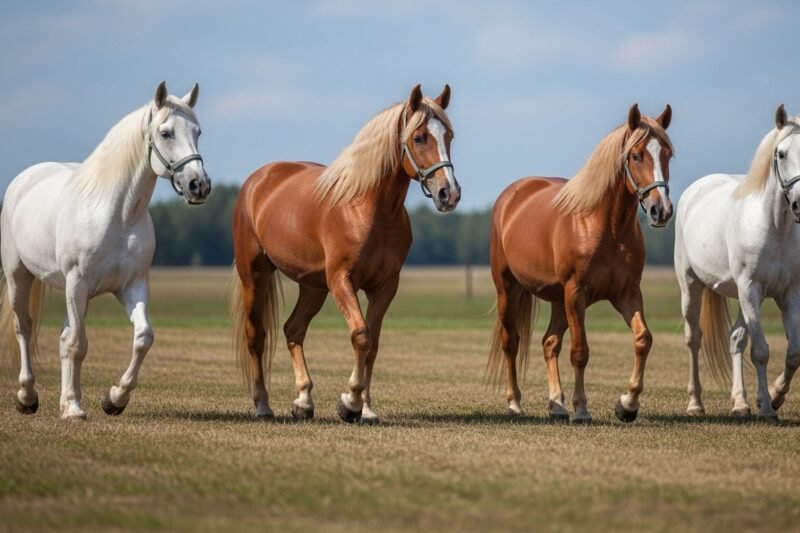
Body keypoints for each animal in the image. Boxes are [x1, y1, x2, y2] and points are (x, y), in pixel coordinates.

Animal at [0, 81, 210, 420]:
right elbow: (78, 344)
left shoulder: (131, 287)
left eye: (198, 132)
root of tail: (24, 180)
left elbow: (142, 338)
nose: (199, 185)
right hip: (20, 278)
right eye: (166, 133)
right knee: (25, 329)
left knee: (63, 337)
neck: (117, 214)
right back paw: (28, 396)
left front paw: (114, 398)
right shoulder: (77, 284)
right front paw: (75, 409)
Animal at [230, 84, 459, 424]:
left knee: (293, 329)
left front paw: (366, 408)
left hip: (312, 286)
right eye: (419, 137)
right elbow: (361, 335)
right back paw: (262, 405)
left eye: (449, 136)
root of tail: (258, 180)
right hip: (255, 275)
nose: (449, 193)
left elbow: (373, 343)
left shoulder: (385, 286)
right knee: (256, 335)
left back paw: (303, 402)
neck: (367, 208)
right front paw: (349, 402)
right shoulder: (342, 280)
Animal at [487, 104, 674, 424]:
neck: (606, 226)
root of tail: (511, 196)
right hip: (509, 290)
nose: (660, 210)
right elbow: (580, 352)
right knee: (511, 342)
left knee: (549, 343)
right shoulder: (576, 293)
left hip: (558, 300)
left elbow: (643, 339)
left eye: (668, 154)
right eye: (636, 155)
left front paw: (627, 405)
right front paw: (583, 409)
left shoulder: (627, 294)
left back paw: (557, 404)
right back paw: (515, 403)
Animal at [675, 105, 800, 422]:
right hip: (691, 286)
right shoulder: (751, 289)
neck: (775, 228)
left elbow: (793, 352)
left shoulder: (789, 294)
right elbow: (761, 352)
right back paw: (695, 403)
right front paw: (766, 407)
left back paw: (740, 403)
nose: (799, 204)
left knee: (735, 339)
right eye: (781, 154)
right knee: (693, 339)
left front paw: (776, 396)